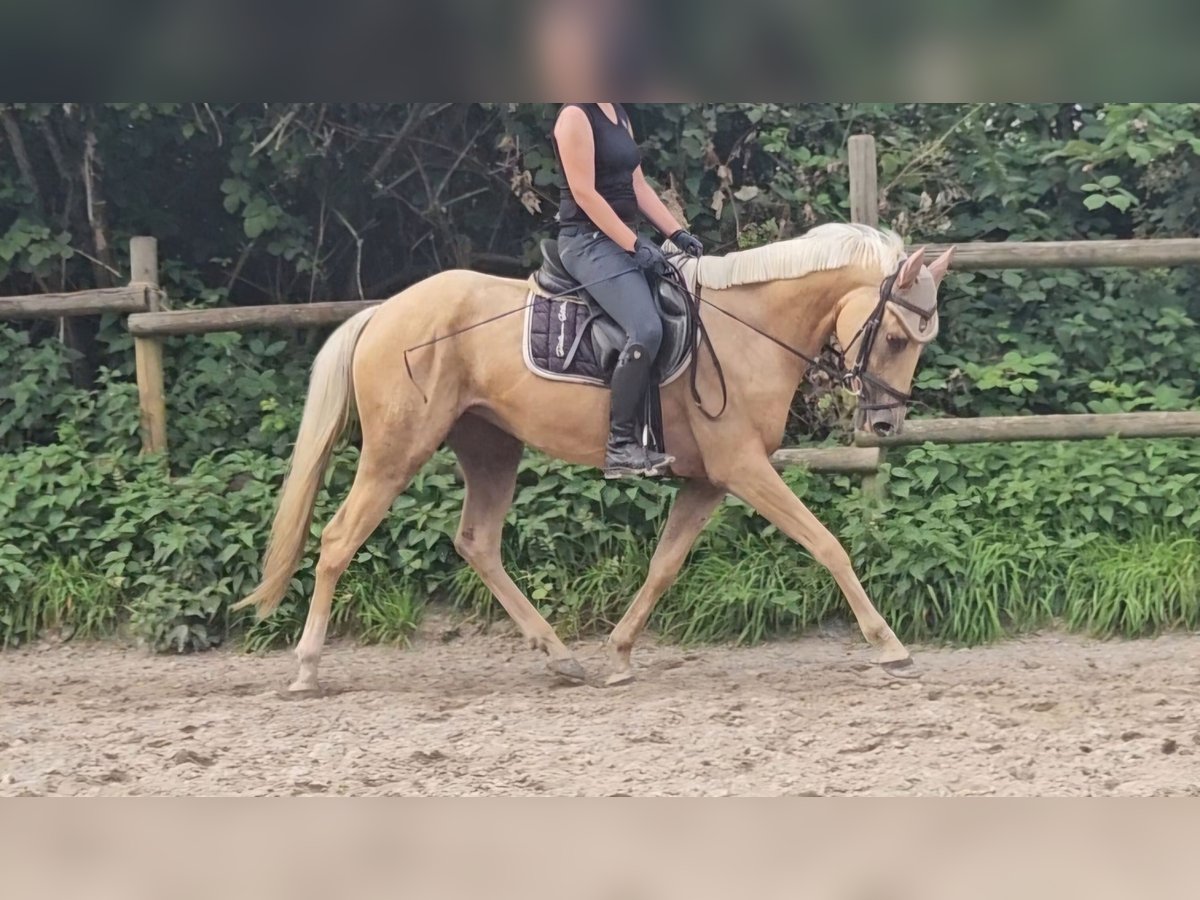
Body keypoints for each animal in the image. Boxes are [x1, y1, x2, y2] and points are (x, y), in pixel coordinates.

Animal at [229, 224, 950, 691]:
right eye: (893, 336)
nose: (884, 422)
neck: (749, 329)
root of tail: (382, 314)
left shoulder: (709, 481)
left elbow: (664, 566)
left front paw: (621, 654)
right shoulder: (744, 469)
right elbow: (827, 544)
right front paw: (889, 647)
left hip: (491, 448)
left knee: (477, 541)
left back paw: (558, 655)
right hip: (395, 453)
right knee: (338, 539)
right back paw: (307, 669)